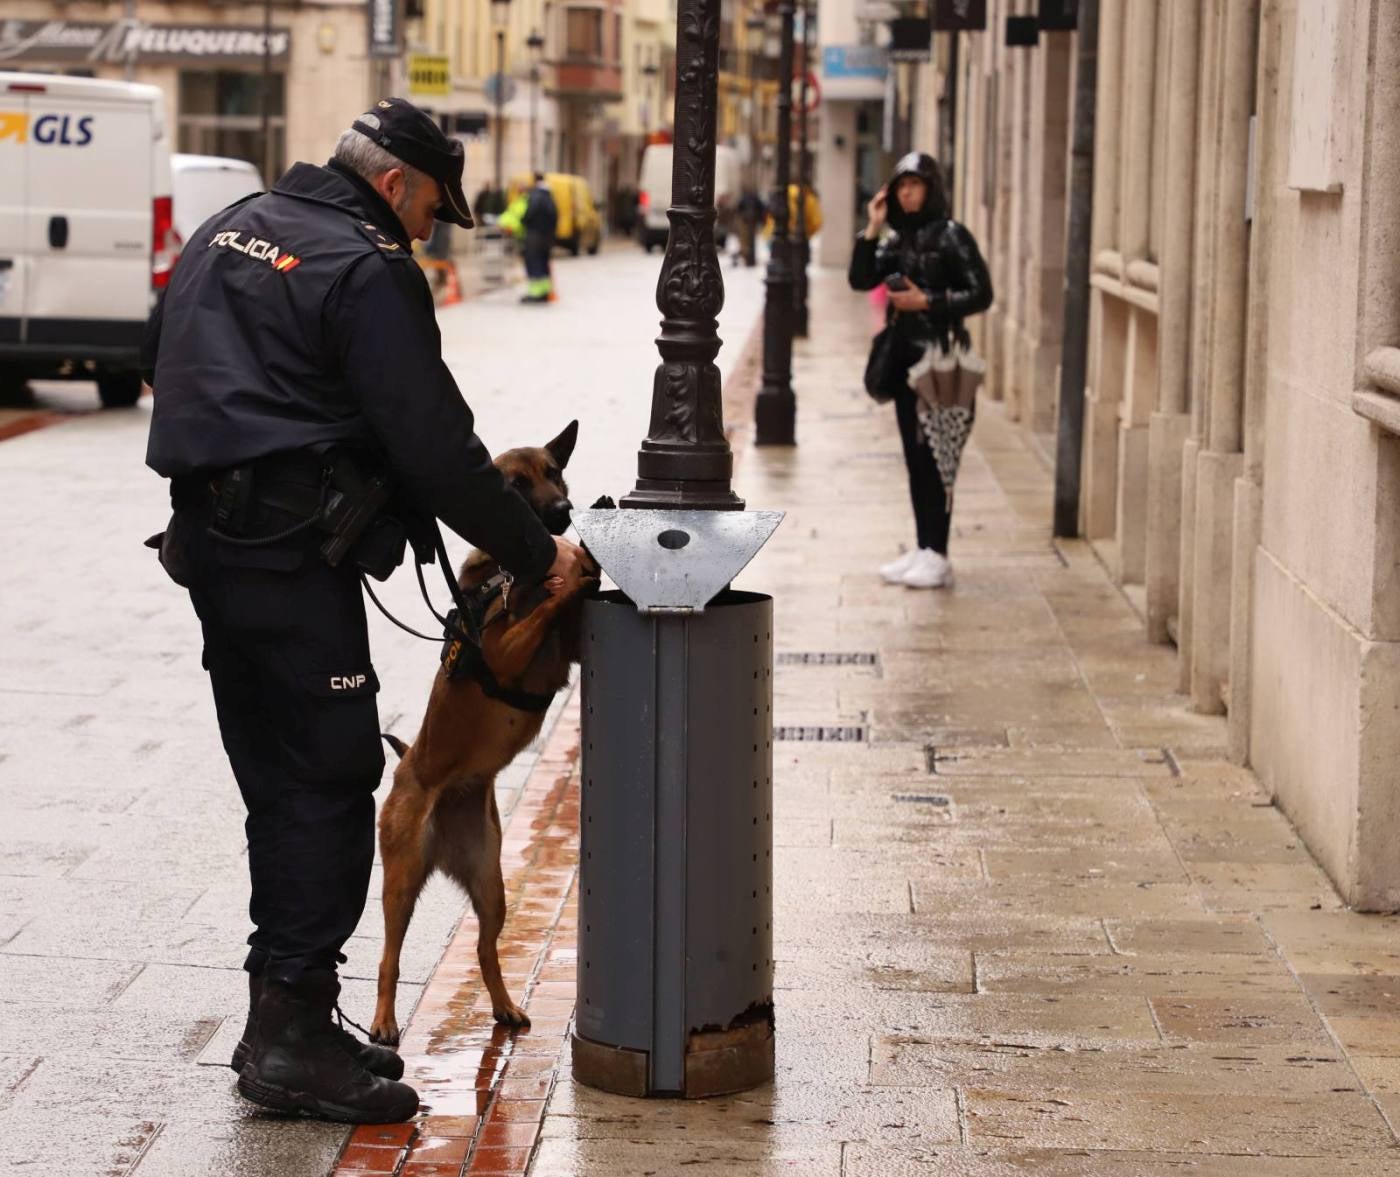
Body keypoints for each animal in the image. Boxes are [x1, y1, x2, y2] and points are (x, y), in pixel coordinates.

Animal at [366, 417, 590, 1041]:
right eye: (515, 484)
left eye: (555, 472)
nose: (562, 511)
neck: (507, 573)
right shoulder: (509, 656)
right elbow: (550, 603)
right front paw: (570, 571)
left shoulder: (565, 651)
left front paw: (587, 560)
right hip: (401, 880)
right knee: (388, 956)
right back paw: (384, 1021)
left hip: (492, 886)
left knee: (486, 949)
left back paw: (504, 1006)